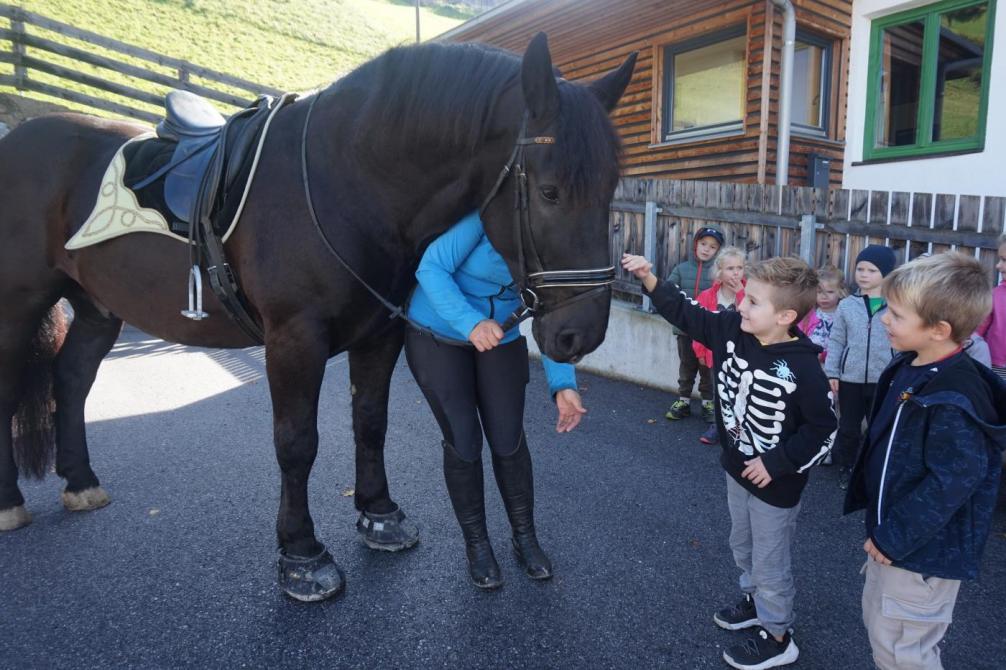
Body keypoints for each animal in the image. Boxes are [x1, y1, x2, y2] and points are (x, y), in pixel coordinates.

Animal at [0, 33, 631, 599]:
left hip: (96, 307)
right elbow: (297, 442)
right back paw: (10, 502)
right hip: (18, 304)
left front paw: (380, 515)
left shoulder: (381, 333)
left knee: (70, 380)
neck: (347, 180)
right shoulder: (294, 341)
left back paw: (81, 482)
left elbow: (370, 422)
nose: (580, 334)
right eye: (549, 191)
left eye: (611, 188)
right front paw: (303, 555)